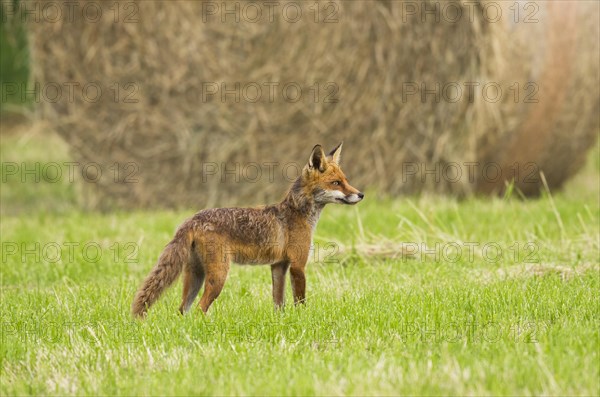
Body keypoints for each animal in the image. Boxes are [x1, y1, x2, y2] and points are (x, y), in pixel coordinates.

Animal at [132, 142, 364, 316]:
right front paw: (303, 320)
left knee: (182, 310)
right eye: (336, 183)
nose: (361, 194)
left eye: (346, 181)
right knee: (200, 309)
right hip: (218, 276)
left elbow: (278, 302)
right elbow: (300, 301)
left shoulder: (279, 265)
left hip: (195, 276)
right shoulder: (298, 264)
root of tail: (192, 218)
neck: (296, 213)